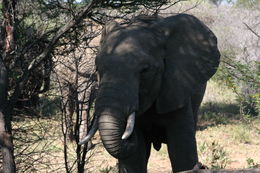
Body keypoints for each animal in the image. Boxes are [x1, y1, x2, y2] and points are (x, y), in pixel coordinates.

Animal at [80, 13, 220, 173]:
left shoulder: (176, 87)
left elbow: (181, 149)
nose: (126, 136)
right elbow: (135, 158)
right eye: (97, 69)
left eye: (145, 70)